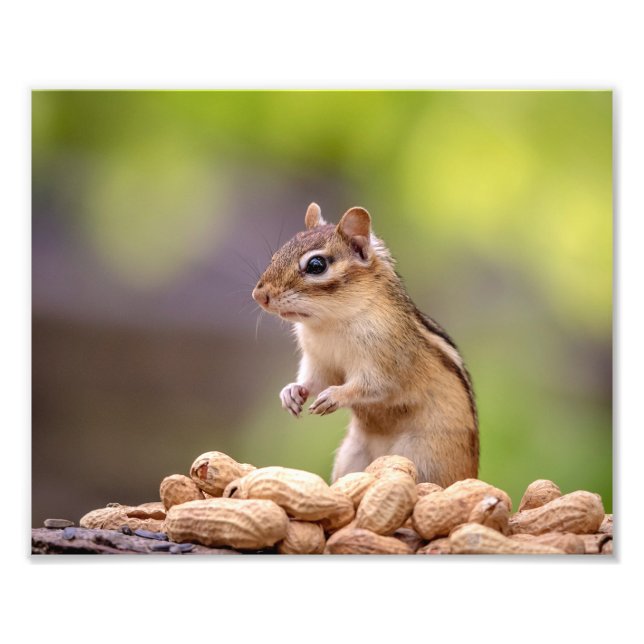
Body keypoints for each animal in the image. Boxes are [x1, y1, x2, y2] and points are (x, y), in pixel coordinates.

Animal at [251, 203, 479, 487]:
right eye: (276, 255)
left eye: (316, 265)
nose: (259, 295)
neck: (330, 323)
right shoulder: (319, 361)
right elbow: (315, 380)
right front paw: (292, 392)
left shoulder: (387, 360)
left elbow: (374, 386)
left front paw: (335, 396)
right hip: (351, 456)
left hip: (424, 457)